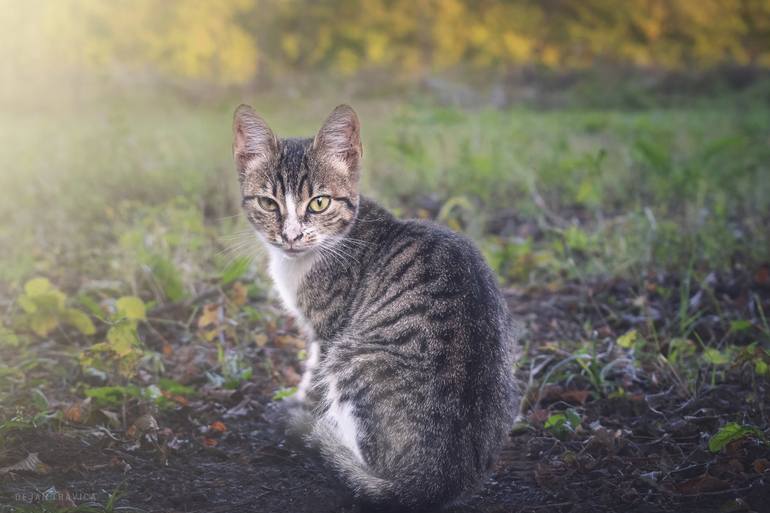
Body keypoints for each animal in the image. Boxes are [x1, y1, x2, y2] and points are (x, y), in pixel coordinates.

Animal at [228, 102, 516, 510]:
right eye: (268, 203)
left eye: (319, 203)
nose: (291, 236)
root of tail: (436, 481)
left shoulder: (327, 333)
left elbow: (312, 380)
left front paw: (299, 411)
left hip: (352, 358)